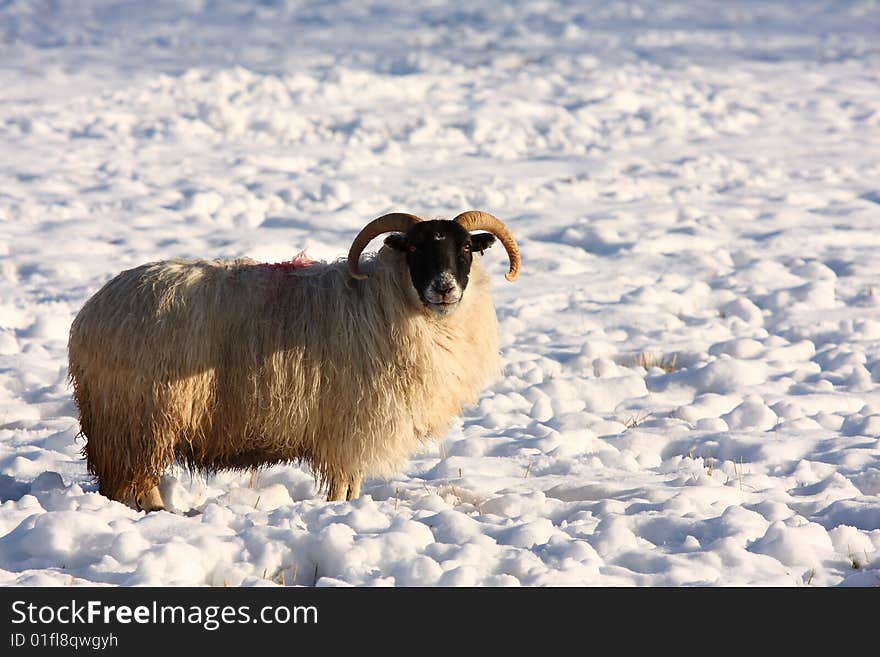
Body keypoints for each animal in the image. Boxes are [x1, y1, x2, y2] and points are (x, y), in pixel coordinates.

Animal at [70, 209, 524, 508]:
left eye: (465, 248)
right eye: (413, 248)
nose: (444, 288)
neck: (384, 299)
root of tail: (92, 312)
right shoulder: (348, 427)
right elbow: (344, 486)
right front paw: (339, 513)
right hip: (140, 416)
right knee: (135, 479)